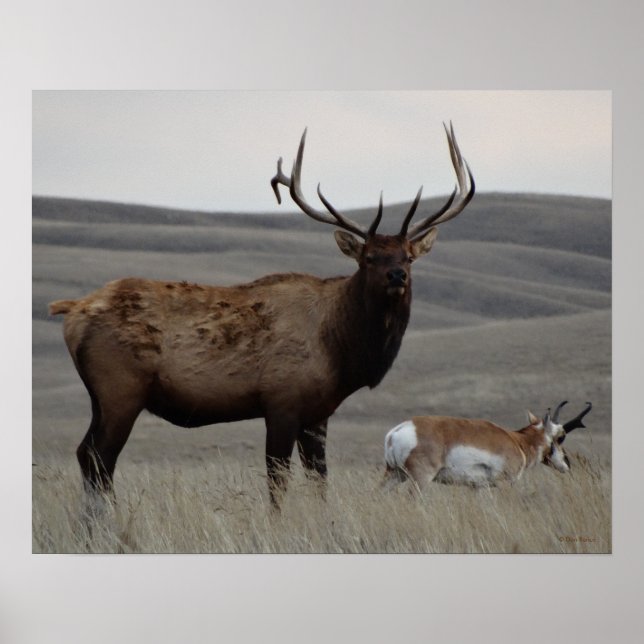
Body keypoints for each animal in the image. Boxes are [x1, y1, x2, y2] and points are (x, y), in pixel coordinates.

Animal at [49, 123, 475, 508]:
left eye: (408, 256)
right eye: (369, 257)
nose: (397, 275)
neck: (340, 349)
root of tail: (72, 310)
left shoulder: (318, 415)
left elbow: (319, 484)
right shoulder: (281, 401)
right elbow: (277, 483)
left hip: (101, 396)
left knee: (87, 456)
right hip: (120, 389)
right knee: (98, 459)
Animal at [383, 401, 592, 490]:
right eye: (561, 437)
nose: (567, 464)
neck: (518, 441)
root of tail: (397, 431)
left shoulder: (479, 488)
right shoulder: (504, 484)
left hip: (394, 475)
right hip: (420, 479)